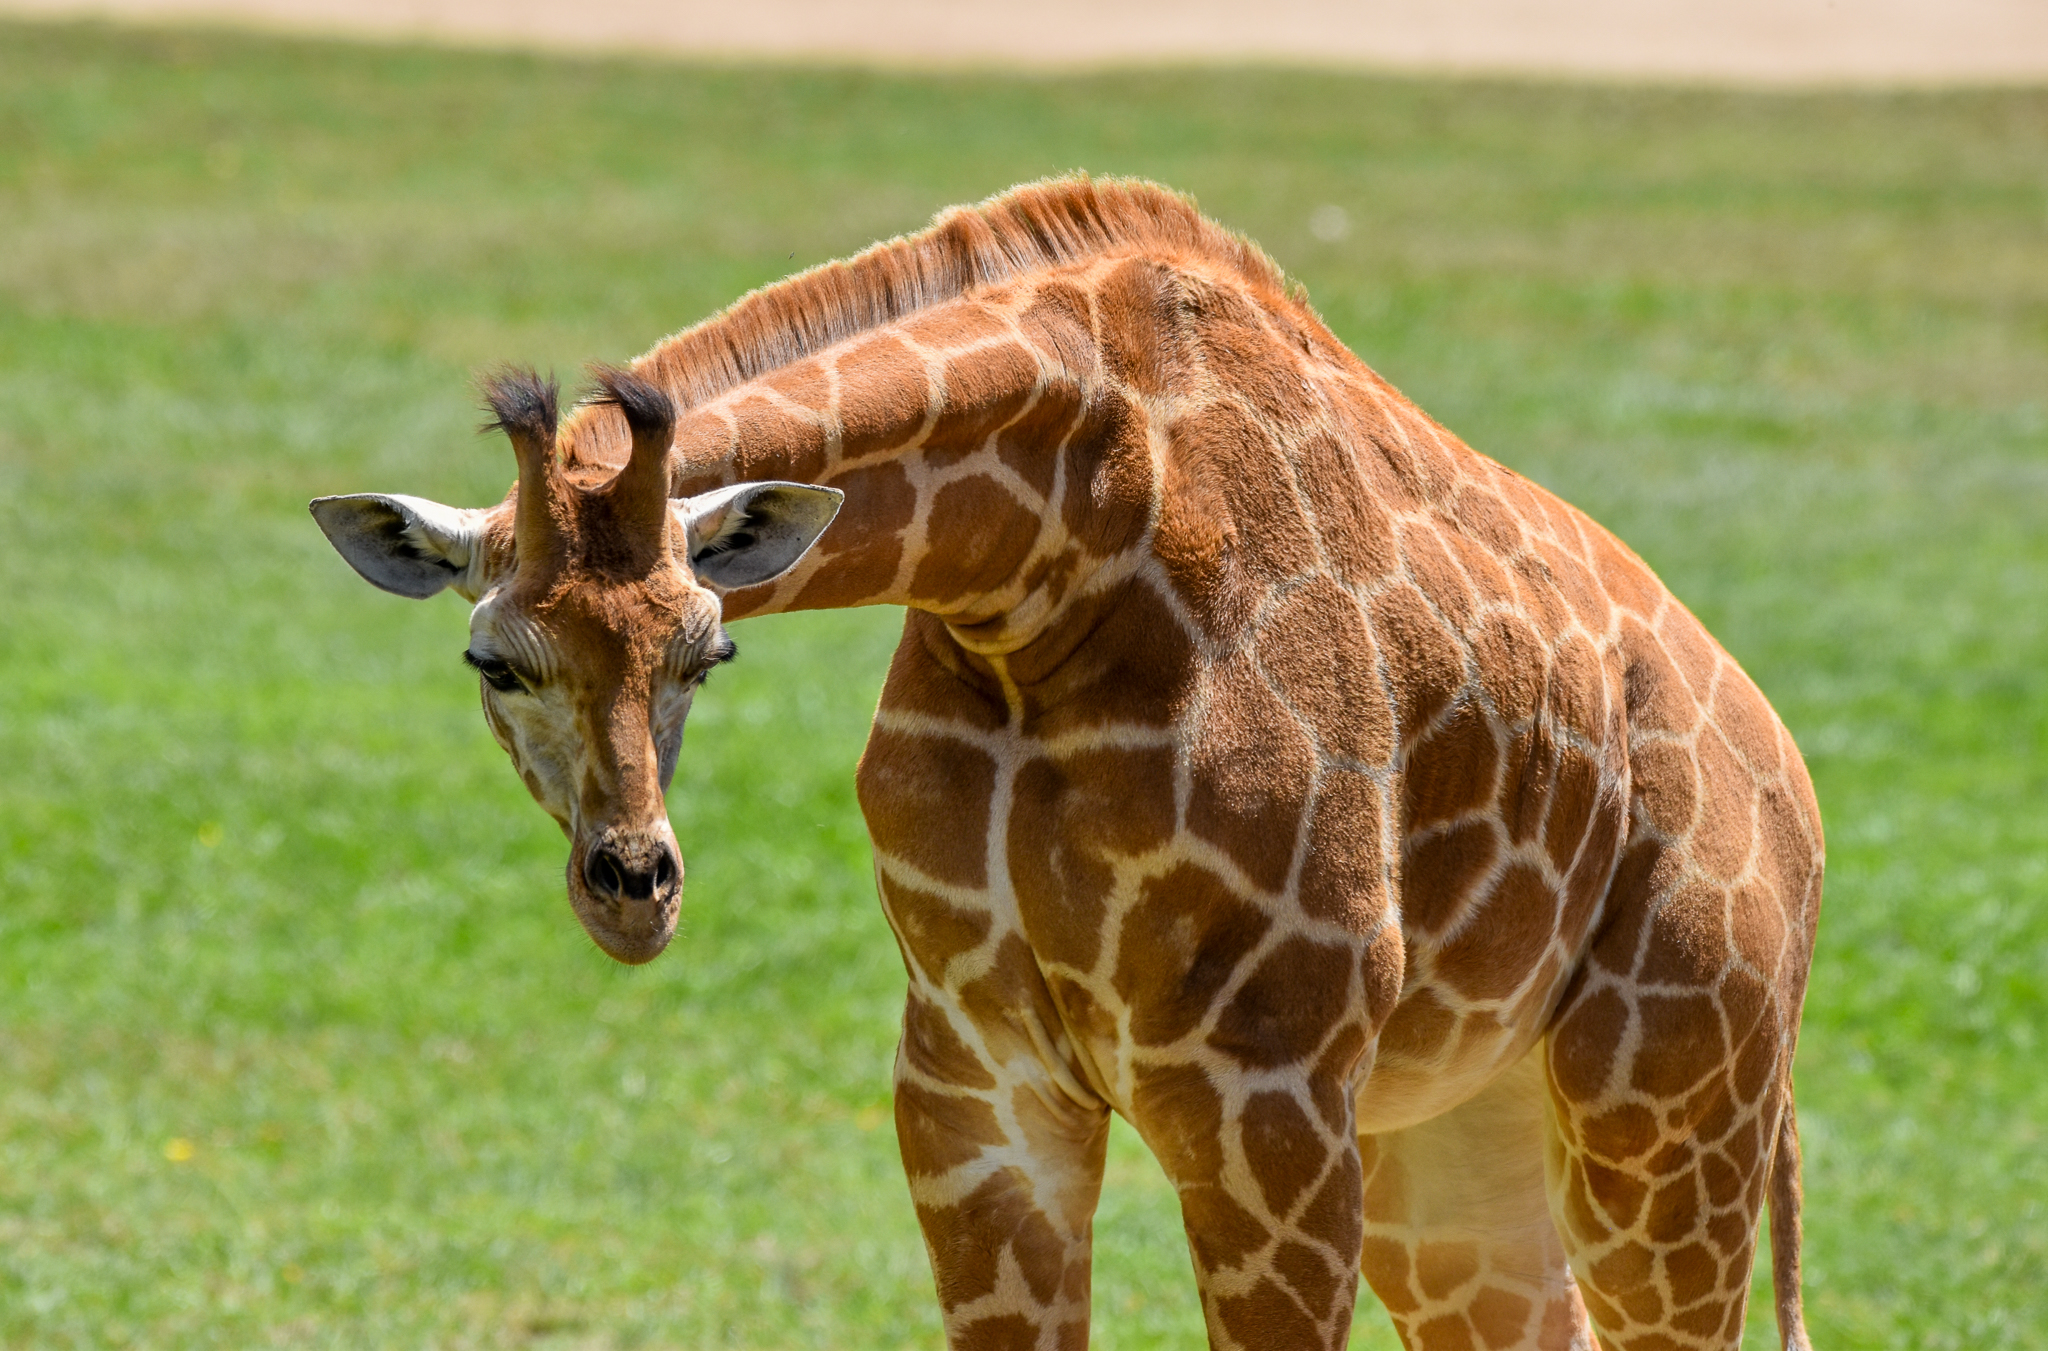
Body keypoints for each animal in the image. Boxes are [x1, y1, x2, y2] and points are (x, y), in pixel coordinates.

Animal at [311, 177, 1822, 1351]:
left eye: (709, 650)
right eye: (494, 662)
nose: (635, 887)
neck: (1052, 564)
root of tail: (1792, 790)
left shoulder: (1267, 1094)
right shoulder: (973, 1076)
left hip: (1672, 1100)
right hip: (1456, 1126)